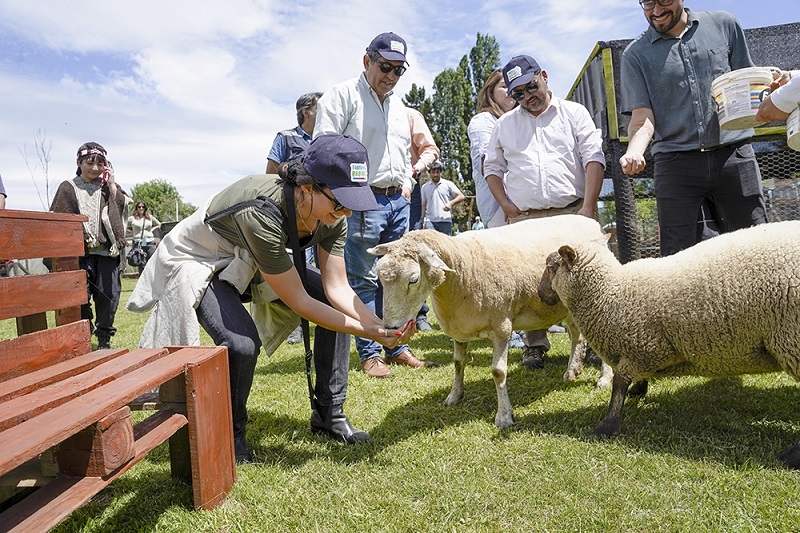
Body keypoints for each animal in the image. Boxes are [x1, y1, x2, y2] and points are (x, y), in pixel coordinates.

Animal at [368, 214, 612, 426]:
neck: (464, 266)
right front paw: (454, 396)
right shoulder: (459, 329)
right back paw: (572, 371)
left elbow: (498, 372)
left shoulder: (502, 328)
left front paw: (504, 416)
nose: (390, 327)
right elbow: (458, 364)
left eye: (413, 279)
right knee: (576, 336)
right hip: (569, 307)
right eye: (379, 276)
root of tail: (591, 222)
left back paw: (604, 378)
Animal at [536, 218, 800, 468]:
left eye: (551, 267)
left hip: (792, 338)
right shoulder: (640, 348)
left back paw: (790, 457)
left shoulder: (644, 346)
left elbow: (619, 384)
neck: (611, 292)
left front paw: (607, 426)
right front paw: (638, 391)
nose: (540, 295)